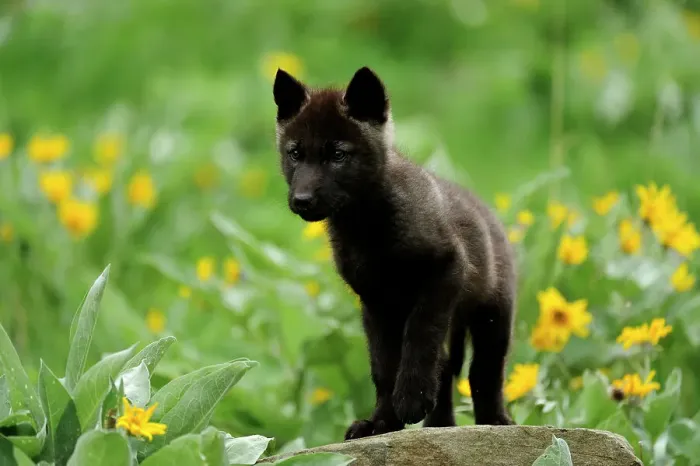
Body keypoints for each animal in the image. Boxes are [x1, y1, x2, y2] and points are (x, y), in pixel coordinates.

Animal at [272, 66, 516, 440]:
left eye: (338, 155)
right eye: (295, 153)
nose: (302, 200)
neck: (365, 226)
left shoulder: (445, 272)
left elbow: (419, 337)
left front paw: (411, 399)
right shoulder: (375, 302)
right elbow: (384, 366)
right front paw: (382, 422)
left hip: (492, 313)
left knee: (484, 370)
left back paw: (495, 421)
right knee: (446, 367)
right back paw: (440, 425)